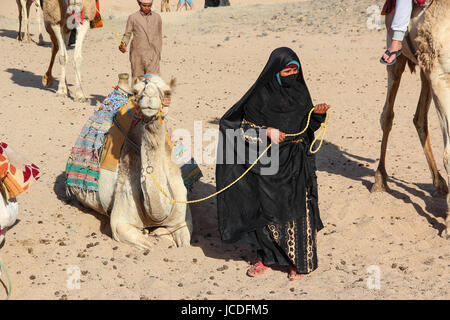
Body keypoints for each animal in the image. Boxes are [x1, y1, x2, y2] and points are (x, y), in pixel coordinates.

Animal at [67, 75, 192, 250]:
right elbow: (145, 242)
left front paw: (160, 232)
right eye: (136, 92)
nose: (149, 96)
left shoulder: (182, 219)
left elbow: (185, 241)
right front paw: (152, 233)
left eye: (168, 92)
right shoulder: (121, 223)